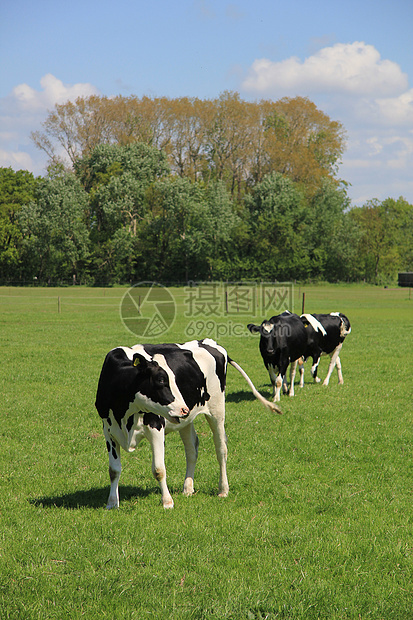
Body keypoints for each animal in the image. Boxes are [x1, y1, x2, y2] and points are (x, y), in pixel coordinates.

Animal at [95, 340, 280, 508]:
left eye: (172, 378)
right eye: (160, 380)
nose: (183, 408)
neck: (124, 414)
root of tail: (209, 342)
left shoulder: (156, 427)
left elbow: (159, 469)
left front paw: (167, 502)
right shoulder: (108, 431)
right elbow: (114, 470)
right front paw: (112, 503)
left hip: (217, 411)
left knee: (221, 449)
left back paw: (223, 489)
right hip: (185, 422)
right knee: (191, 449)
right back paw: (188, 488)